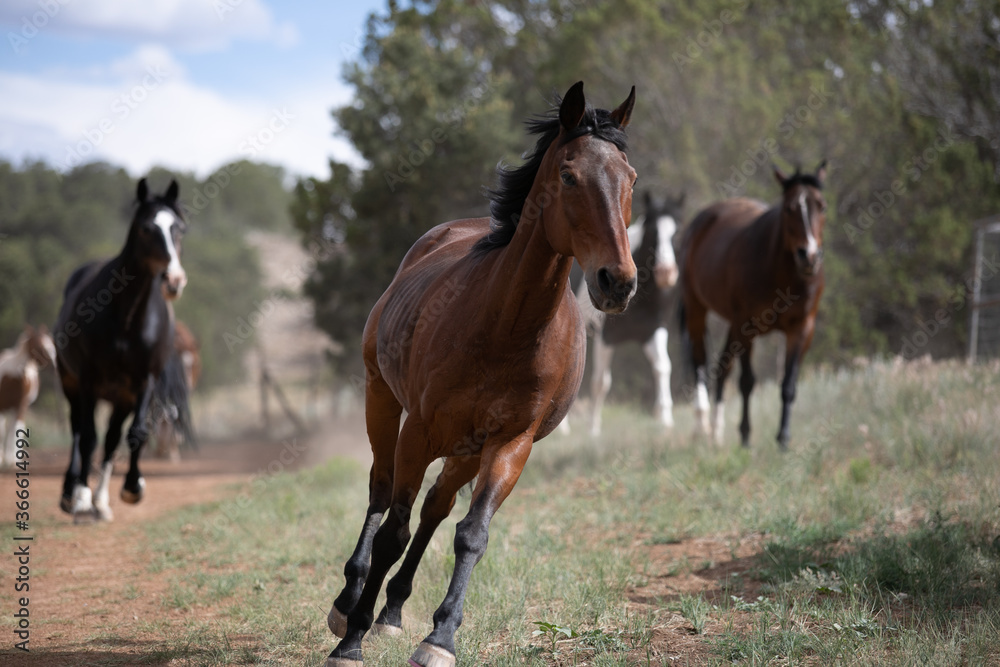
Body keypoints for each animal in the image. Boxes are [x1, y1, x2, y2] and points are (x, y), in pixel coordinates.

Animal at [0, 326, 56, 468]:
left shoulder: (21, 405)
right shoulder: (2, 406)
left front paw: (12, 459)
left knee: (12, 427)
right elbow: (1, 430)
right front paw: (1, 458)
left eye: (51, 345)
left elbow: (18, 428)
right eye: (39, 346)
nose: (55, 367)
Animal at [56, 177, 189, 520]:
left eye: (179, 228)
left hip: (121, 397)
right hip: (71, 384)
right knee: (78, 431)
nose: (174, 280)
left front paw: (132, 488)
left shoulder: (144, 383)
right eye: (146, 228)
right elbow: (88, 437)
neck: (128, 318)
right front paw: (82, 498)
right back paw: (73, 494)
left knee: (113, 438)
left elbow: (135, 434)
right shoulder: (88, 380)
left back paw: (102, 501)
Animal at [326, 83, 640, 667]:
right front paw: (351, 639)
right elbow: (393, 530)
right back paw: (349, 604)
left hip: (466, 448)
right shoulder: (418, 430)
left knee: (436, 507)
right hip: (382, 399)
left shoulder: (510, 443)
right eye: (569, 175)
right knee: (382, 495)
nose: (618, 281)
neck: (504, 326)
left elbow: (471, 534)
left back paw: (393, 611)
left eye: (630, 178)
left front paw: (440, 637)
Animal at [584, 190, 680, 436]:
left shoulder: (653, 331)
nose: (666, 273)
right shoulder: (605, 337)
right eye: (653, 231)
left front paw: (665, 420)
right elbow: (600, 382)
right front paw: (593, 430)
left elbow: (663, 368)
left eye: (677, 231)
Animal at [680, 164, 828, 452]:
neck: (782, 274)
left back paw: (716, 432)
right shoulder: (747, 324)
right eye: (789, 208)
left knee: (723, 367)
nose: (809, 256)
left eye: (821, 206)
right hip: (697, 308)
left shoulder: (802, 329)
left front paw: (783, 440)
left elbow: (788, 385)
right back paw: (702, 427)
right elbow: (747, 382)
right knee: (700, 361)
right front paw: (746, 437)